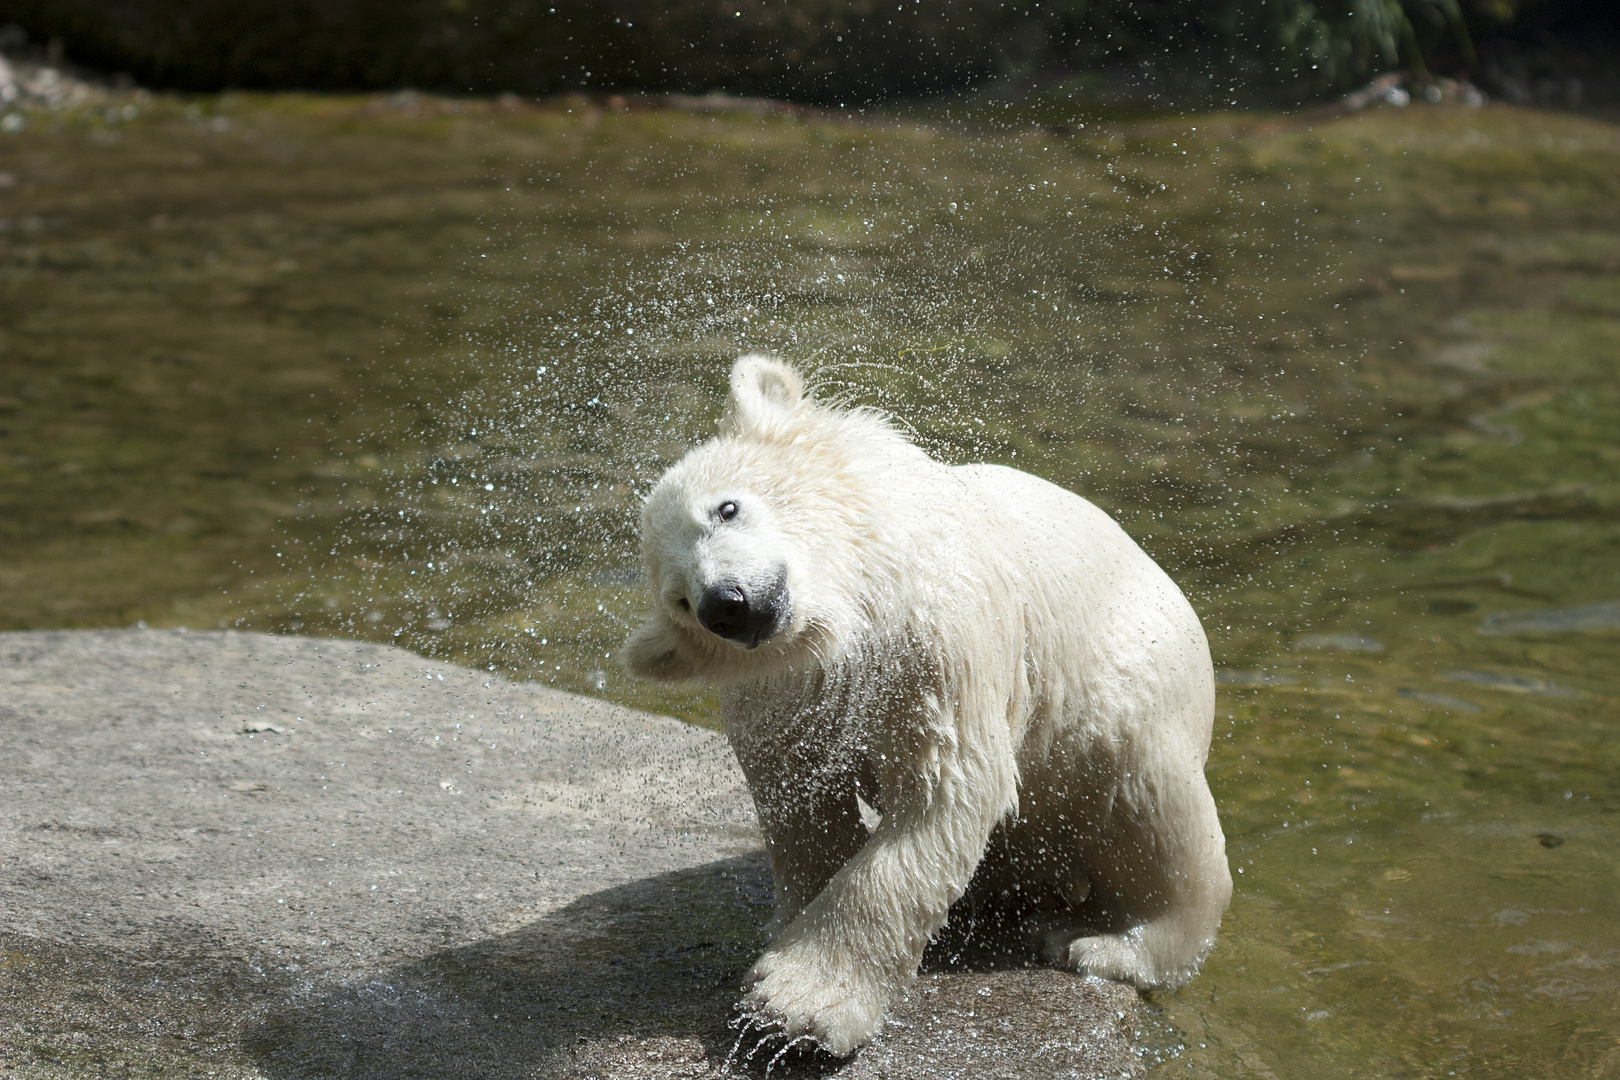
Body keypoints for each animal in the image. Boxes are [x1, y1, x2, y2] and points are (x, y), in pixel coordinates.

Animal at [618, 352, 1224, 1055]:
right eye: (680, 601)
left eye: (727, 507)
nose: (727, 604)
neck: (851, 620)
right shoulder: (779, 693)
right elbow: (803, 808)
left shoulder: (939, 630)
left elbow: (945, 787)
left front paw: (796, 1006)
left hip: (1128, 687)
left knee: (1149, 806)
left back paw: (1101, 944)